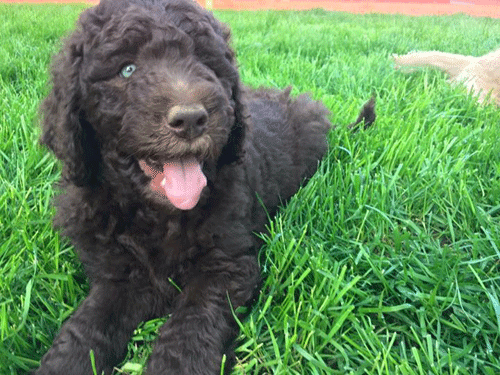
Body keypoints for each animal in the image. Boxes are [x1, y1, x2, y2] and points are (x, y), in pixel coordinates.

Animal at [36, 0, 376, 374]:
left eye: (206, 65)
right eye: (127, 70)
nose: (190, 119)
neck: (159, 213)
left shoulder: (226, 264)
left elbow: (192, 325)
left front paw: (175, 366)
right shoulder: (118, 272)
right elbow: (89, 324)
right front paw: (65, 361)